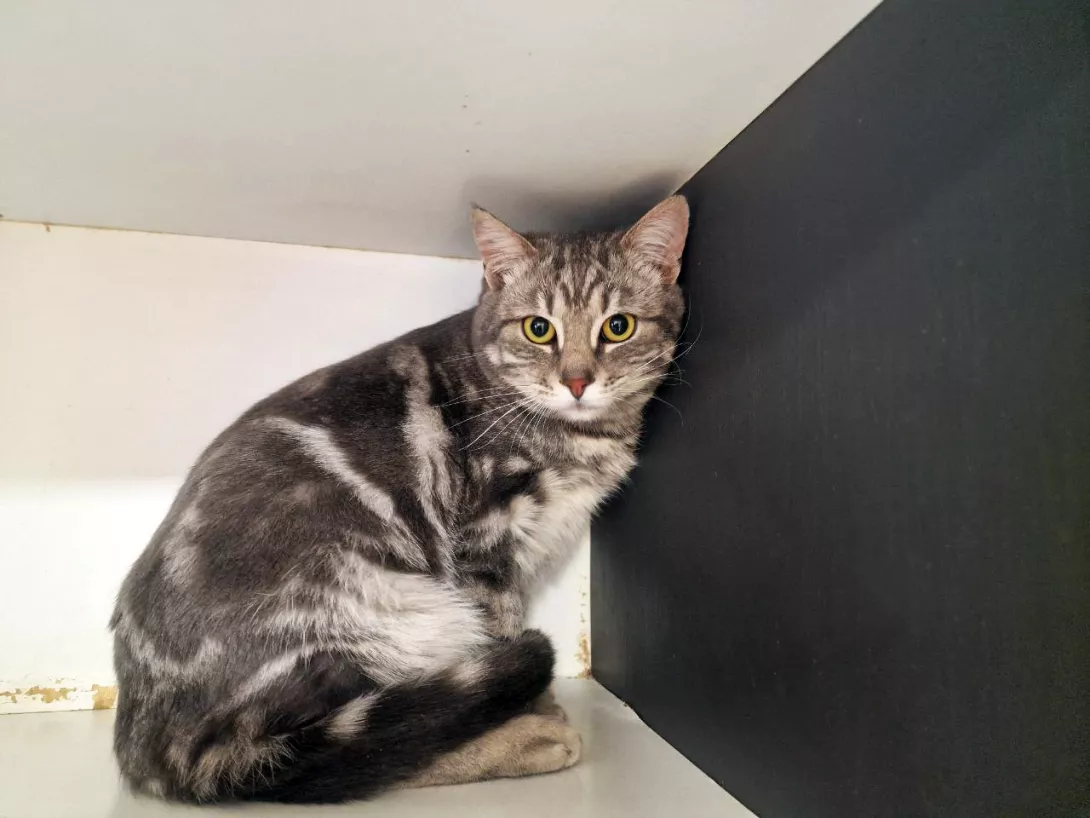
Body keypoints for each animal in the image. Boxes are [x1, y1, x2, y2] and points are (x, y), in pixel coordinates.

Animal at [110, 195, 689, 803]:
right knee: (366, 752)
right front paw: (534, 710)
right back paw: (524, 741)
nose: (577, 381)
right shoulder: (484, 539)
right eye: (538, 329)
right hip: (381, 619)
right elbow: (502, 627)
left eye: (618, 327)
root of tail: (148, 743)